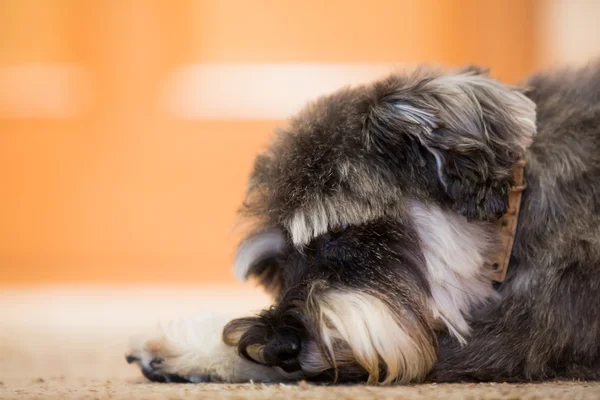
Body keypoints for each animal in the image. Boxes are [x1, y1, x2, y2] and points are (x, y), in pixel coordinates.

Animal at [125, 61, 600, 384]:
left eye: (338, 237)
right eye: (274, 270)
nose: (279, 347)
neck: (510, 225)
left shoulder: (510, 339)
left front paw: (188, 345)